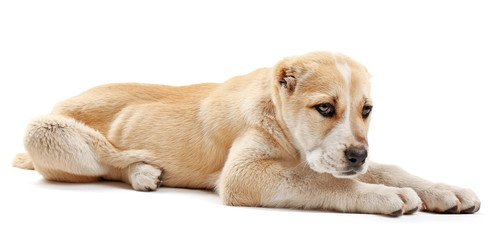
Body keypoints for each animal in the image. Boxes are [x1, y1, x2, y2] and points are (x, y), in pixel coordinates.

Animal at [11, 51, 480, 216]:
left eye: (367, 111)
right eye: (325, 109)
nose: (357, 156)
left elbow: (387, 167)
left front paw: (444, 190)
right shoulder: (245, 174)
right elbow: (323, 181)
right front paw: (387, 196)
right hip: (46, 129)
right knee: (107, 159)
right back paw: (144, 169)